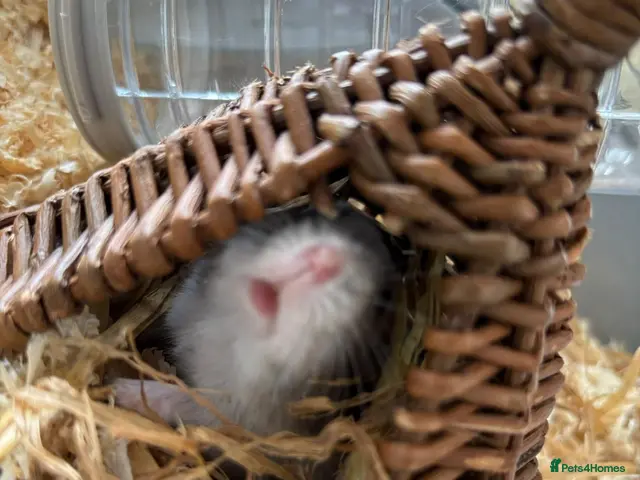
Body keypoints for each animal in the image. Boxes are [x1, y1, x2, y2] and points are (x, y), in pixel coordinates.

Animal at [112, 201, 398, 477]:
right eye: (304, 210)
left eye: (383, 301)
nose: (325, 261)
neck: (237, 356)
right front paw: (119, 386)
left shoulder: (225, 417)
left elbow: (182, 400)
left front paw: (118, 388)